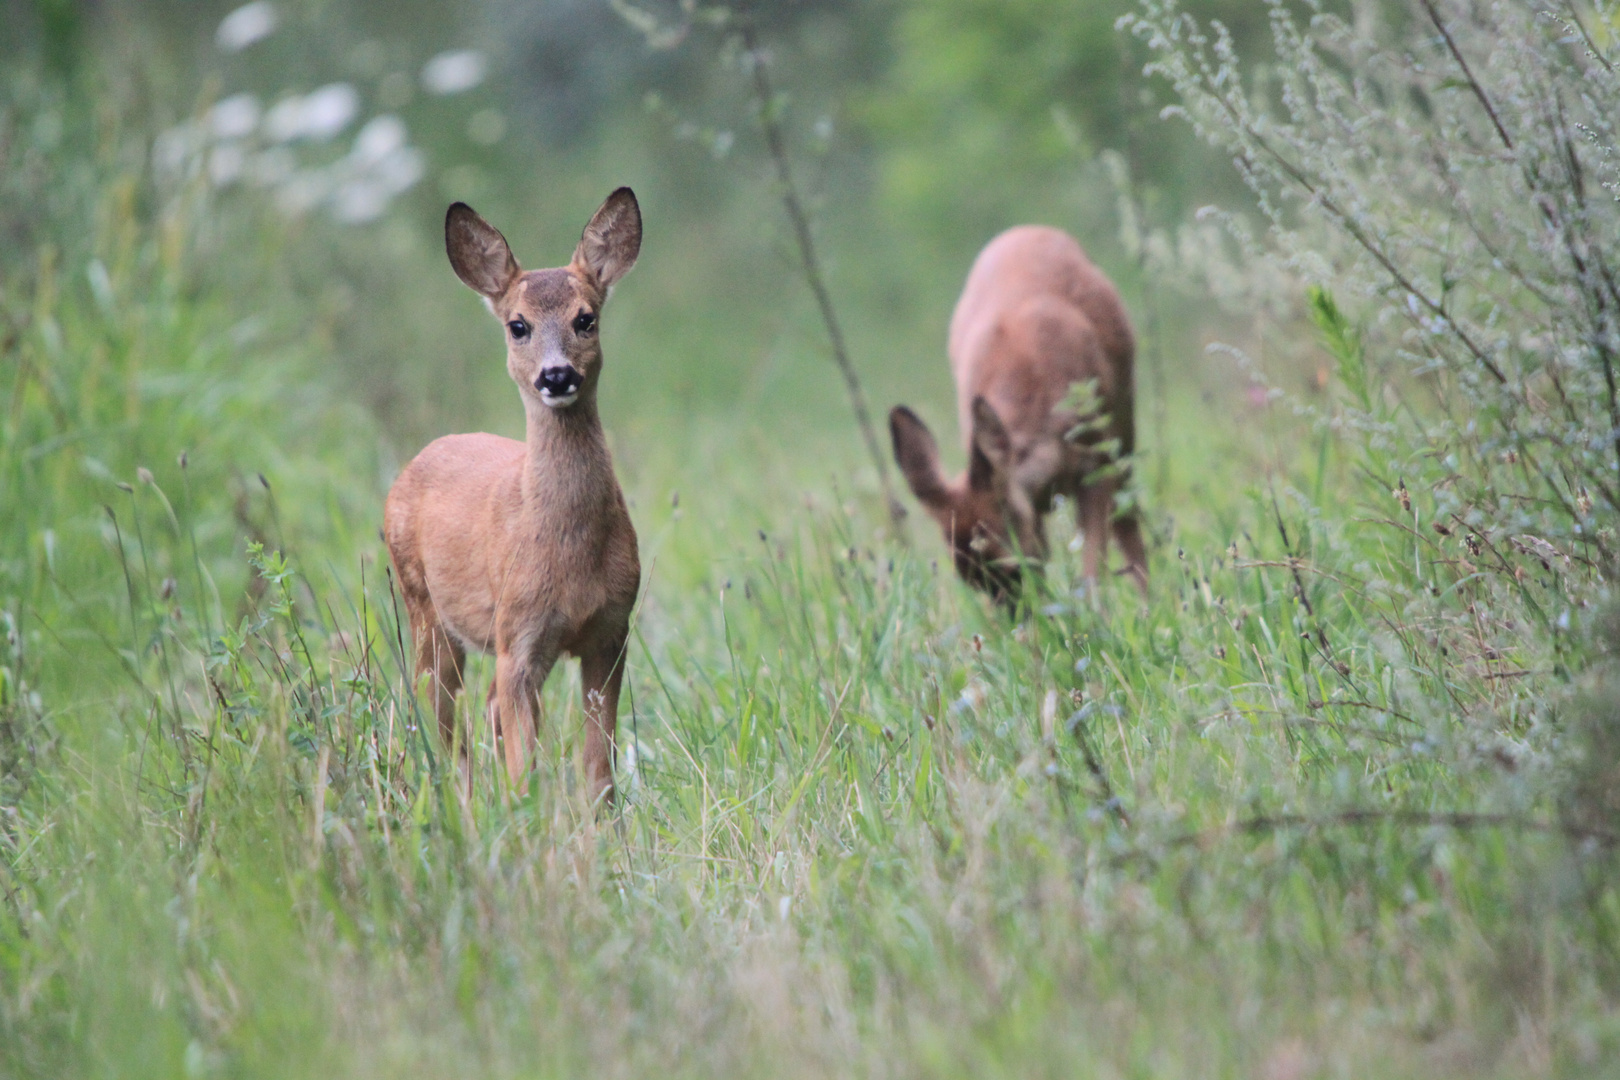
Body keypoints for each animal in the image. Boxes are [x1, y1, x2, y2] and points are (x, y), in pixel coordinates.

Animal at [385, 190, 644, 806]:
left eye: (586, 318)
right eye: (518, 325)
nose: (556, 375)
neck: (570, 557)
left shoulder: (611, 629)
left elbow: (598, 767)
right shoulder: (518, 636)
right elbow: (525, 768)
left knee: (482, 714)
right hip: (424, 606)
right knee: (437, 715)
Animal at [887, 226, 1153, 608]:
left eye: (1012, 569)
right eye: (973, 584)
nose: (1016, 618)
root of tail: (1027, 230)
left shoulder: (1096, 466)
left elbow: (1092, 574)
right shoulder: (1029, 509)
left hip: (1122, 425)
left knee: (1128, 518)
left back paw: (1152, 602)